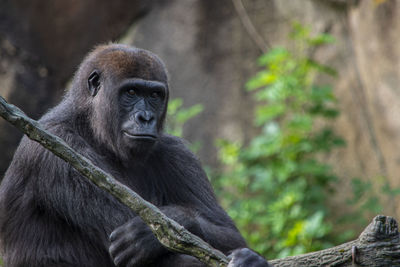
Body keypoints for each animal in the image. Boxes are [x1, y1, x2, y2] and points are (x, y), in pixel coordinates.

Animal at [0, 44, 270, 267]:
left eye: (154, 96)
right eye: (131, 92)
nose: (146, 118)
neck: (90, 125)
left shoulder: (177, 152)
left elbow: (229, 233)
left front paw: (155, 231)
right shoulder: (58, 145)